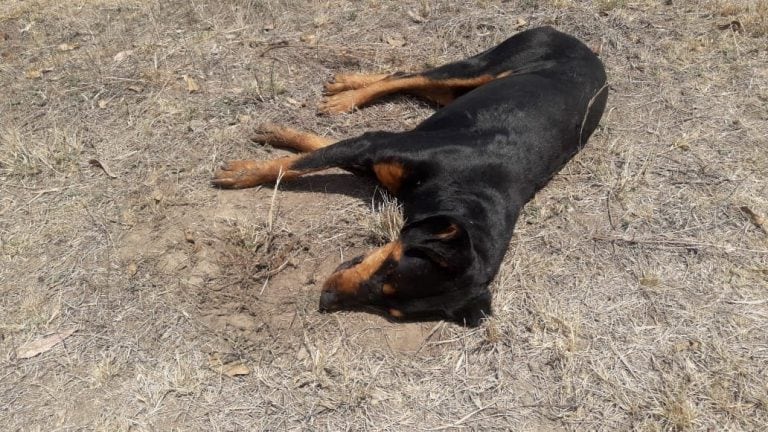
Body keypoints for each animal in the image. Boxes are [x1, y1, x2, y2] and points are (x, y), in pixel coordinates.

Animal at [213, 27, 608, 328]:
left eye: (390, 308)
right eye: (389, 270)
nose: (326, 299)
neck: (460, 186)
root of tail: (585, 47)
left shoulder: (374, 157)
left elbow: (313, 150)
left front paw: (276, 142)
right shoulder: (375, 144)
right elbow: (300, 161)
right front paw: (248, 169)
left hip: (451, 92)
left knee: (404, 78)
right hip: (480, 67)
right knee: (407, 74)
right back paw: (346, 93)